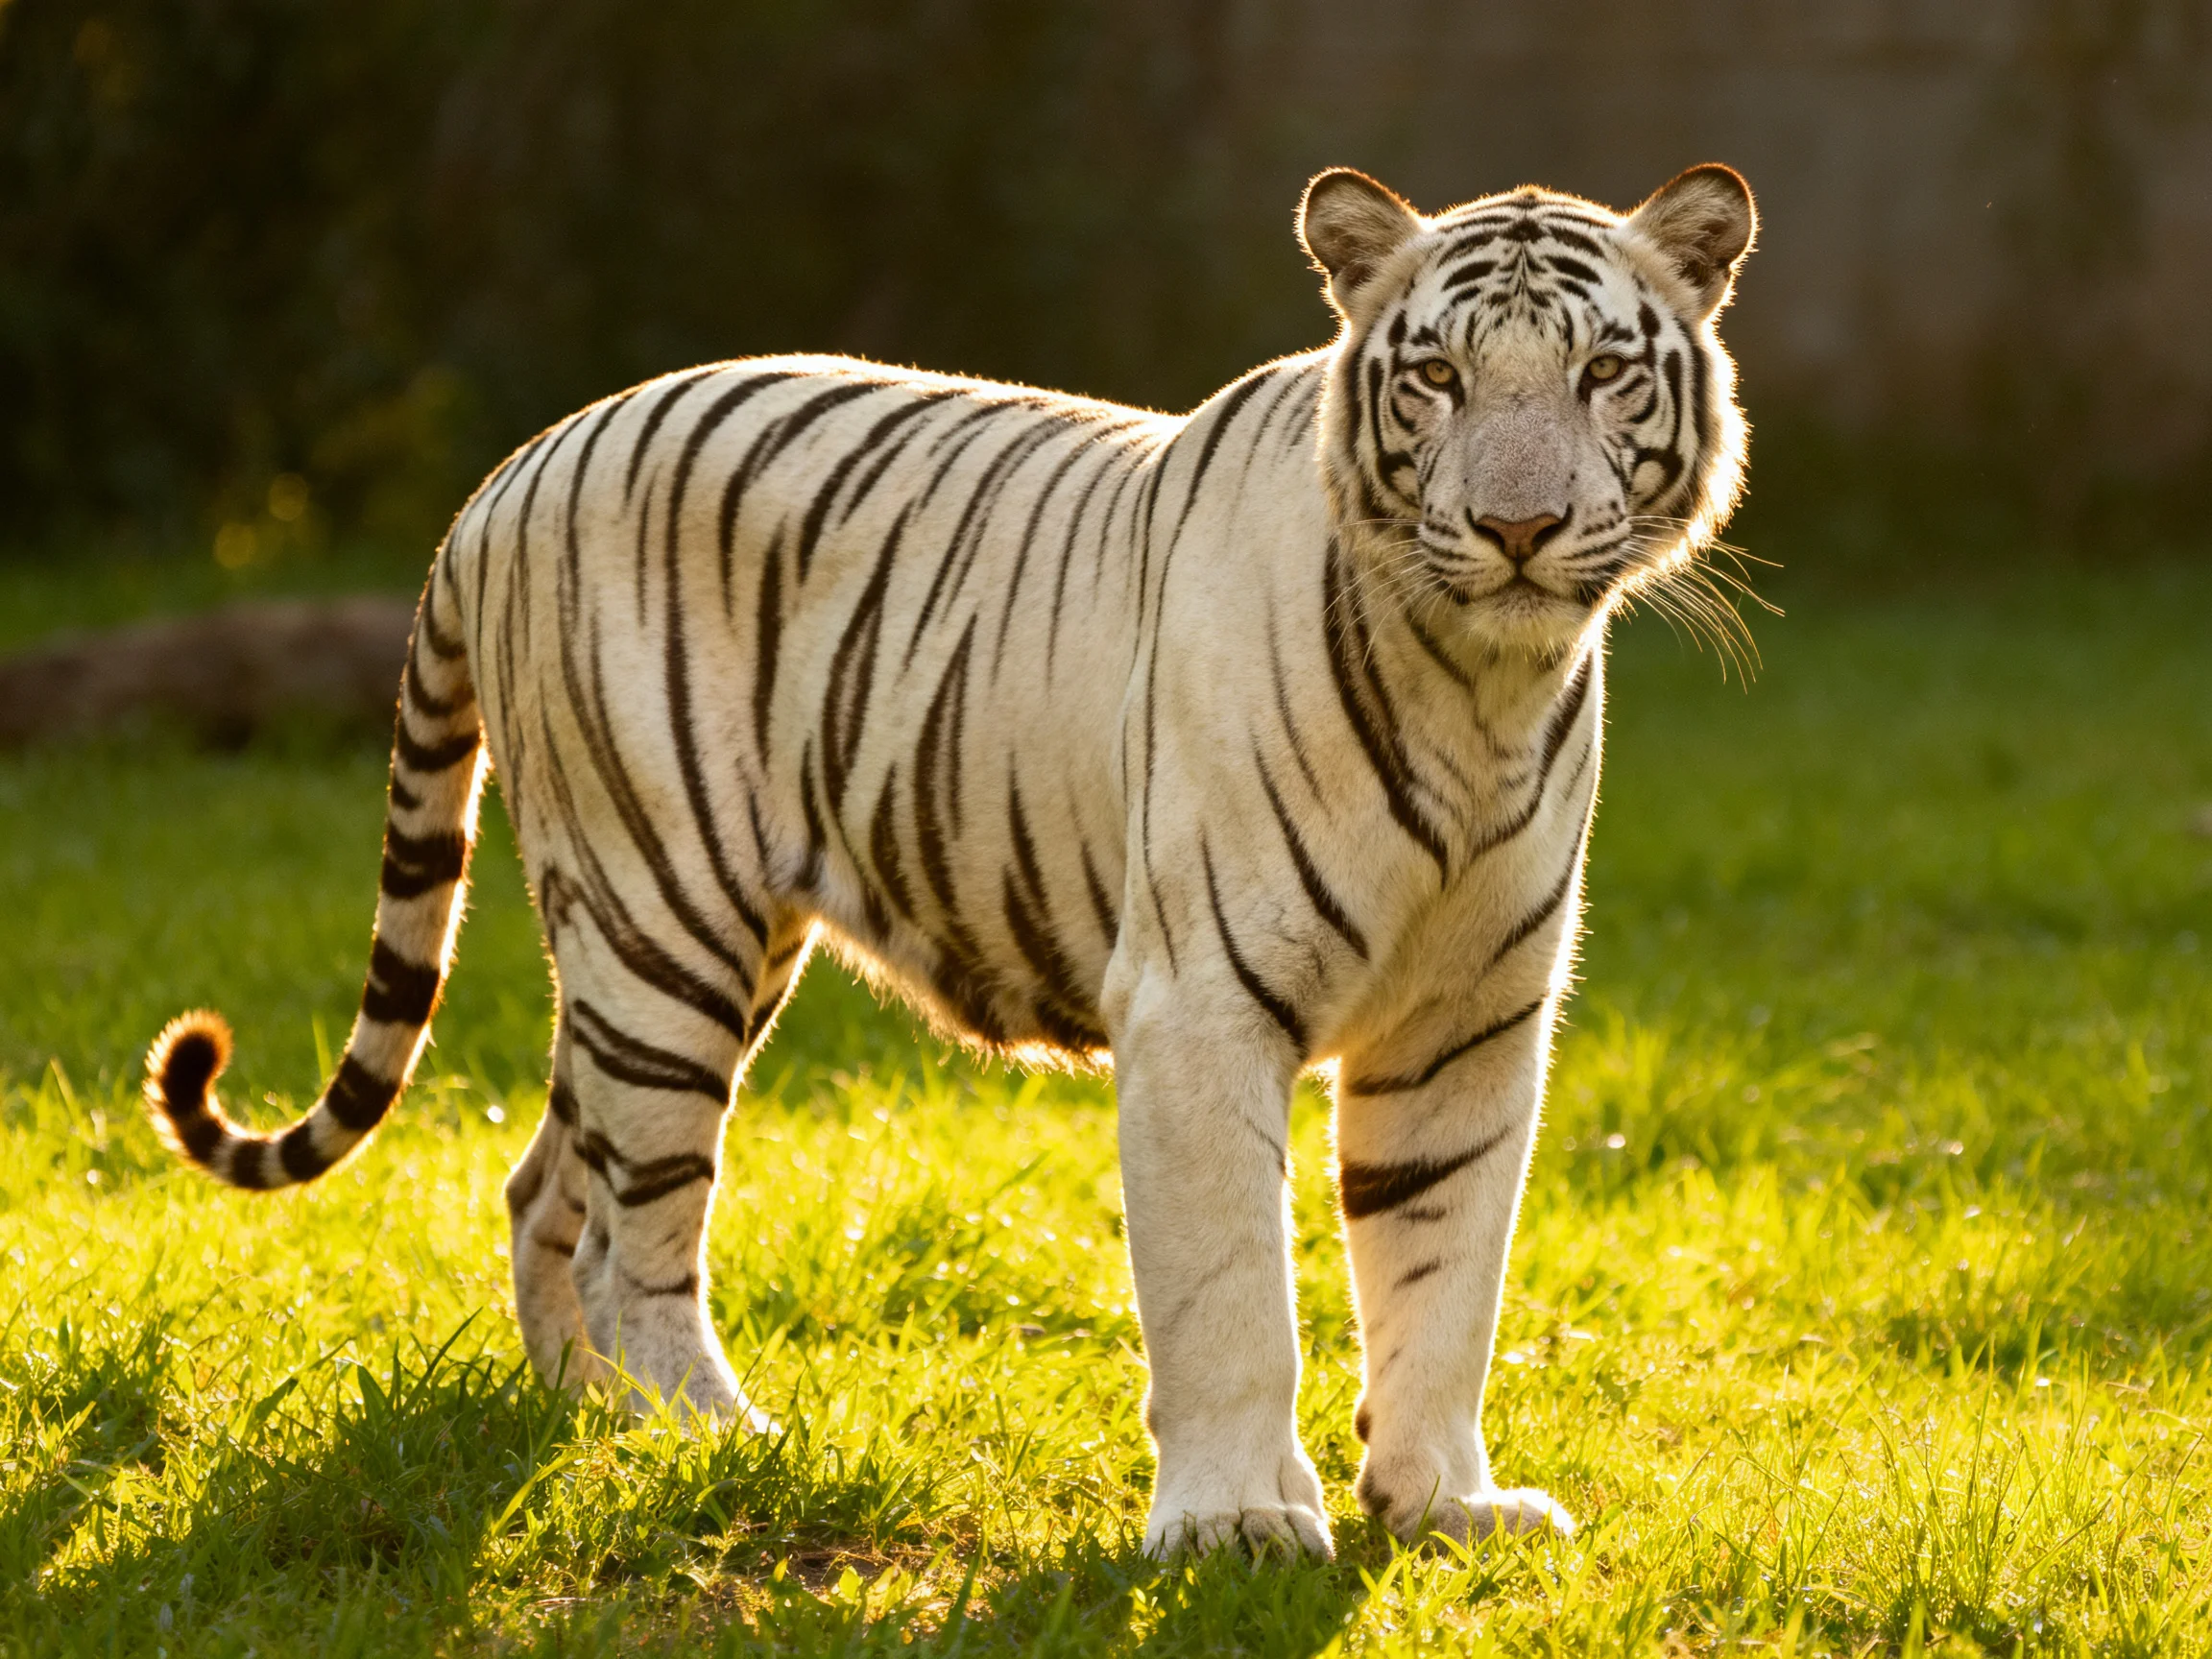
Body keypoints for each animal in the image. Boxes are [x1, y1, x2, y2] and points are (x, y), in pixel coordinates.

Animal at [143, 162, 1755, 1560]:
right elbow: (1234, 1291)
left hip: (662, 949)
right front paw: (1236, 1525)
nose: (1519, 525)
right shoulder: (1201, 1004)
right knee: (633, 1231)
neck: (1483, 686)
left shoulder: (1470, 1022)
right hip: (666, 920)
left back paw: (588, 1422)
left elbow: (1443, 1273)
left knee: (547, 1183)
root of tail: (506, 476)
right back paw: (716, 1439)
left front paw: (1442, 1505)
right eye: (1438, 381)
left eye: (1602, 375)